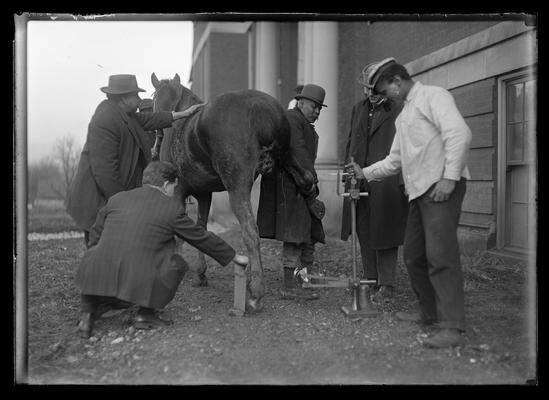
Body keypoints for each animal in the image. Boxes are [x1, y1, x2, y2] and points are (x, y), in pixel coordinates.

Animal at [150, 73, 312, 312]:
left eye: (152, 99)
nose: (154, 146)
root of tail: (262, 109)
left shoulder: (179, 190)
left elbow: (181, 234)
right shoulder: (204, 193)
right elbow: (201, 229)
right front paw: (200, 274)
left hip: (237, 187)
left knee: (251, 232)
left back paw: (255, 293)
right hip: (290, 160)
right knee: (307, 181)